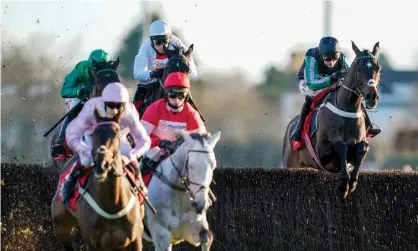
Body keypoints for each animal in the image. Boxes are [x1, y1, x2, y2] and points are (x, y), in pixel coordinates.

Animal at [51, 106, 144, 251]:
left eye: (117, 134)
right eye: (94, 134)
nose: (102, 162)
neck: (112, 204)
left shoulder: (136, 239)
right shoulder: (92, 242)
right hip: (61, 227)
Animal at [282, 40, 380, 200]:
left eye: (378, 67)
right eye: (359, 68)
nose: (372, 97)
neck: (347, 110)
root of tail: (290, 126)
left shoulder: (358, 148)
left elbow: (362, 148)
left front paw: (352, 182)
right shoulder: (321, 153)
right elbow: (341, 145)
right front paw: (343, 186)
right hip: (292, 164)